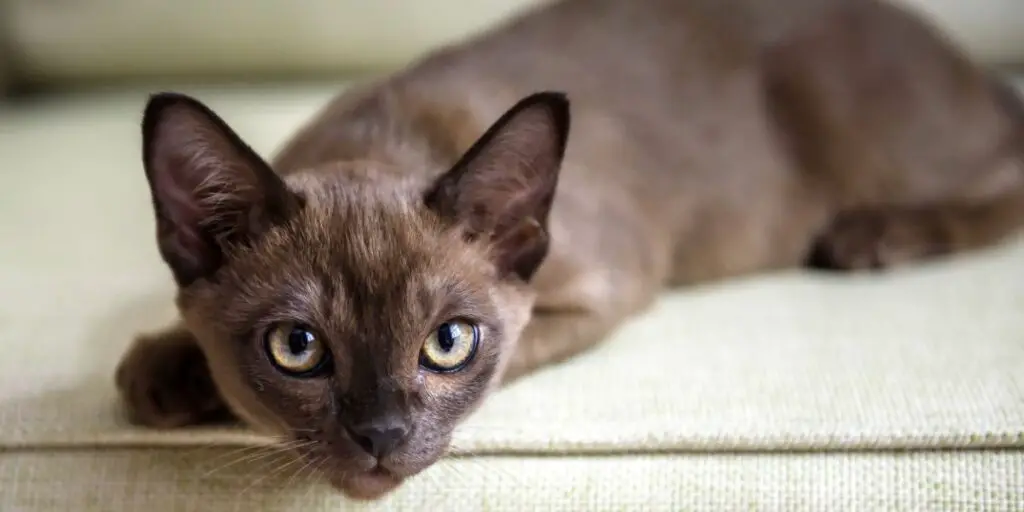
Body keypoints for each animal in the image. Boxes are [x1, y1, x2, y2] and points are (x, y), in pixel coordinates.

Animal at [112, 0, 1024, 499]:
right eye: (297, 348)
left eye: (449, 344)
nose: (381, 436)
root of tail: (955, 54)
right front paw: (165, 374)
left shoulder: (599, 292)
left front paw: (191, 388)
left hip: (864, 135)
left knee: (1008, 176)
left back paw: (876, 237)